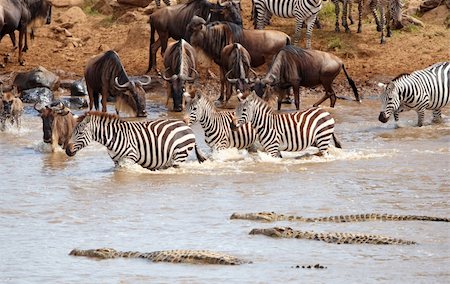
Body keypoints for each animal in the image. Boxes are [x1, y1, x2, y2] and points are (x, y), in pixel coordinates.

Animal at [66, 111, 207, 170]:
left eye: (80, 133)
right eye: (72, 132)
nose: (67, 150)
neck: (114, 137)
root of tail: (185, 125)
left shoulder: (129, 158)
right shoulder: (116, 162)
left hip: (180, 155)